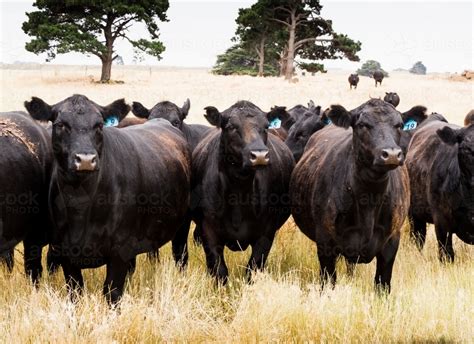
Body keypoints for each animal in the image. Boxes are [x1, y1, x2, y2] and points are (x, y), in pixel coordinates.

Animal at [24, 94, 191, 304]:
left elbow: (112, 293)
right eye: (61, 124)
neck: (80, 204)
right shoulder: (64, 252)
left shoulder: (120, 250)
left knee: (180, 254)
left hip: (182, 225)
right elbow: (75, 291)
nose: (85, 159)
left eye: (99, 125)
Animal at [187, 100, 294, 282]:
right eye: (231, 126)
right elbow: (219, 270)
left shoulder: (266, 234)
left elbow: (253, 269)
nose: (259, 155)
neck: (239, 192)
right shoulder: (209, 231)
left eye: (266, 126)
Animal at [290, 99, 410, 290]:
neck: (369, 200)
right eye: (362, 124)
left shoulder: (391, 241)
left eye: (399, 125)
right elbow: (328, 281)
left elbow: (382, 284)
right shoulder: (325, 242)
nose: (391, 154)